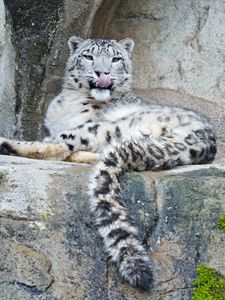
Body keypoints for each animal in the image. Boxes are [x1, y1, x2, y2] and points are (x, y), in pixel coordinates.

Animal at [0, 36, 216, 290]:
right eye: (88, 56)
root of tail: (200, 143)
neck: (68, 103)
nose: (102, 72)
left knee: (61, 145)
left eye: (116, 59)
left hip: (110, 126)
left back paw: (7, 144)